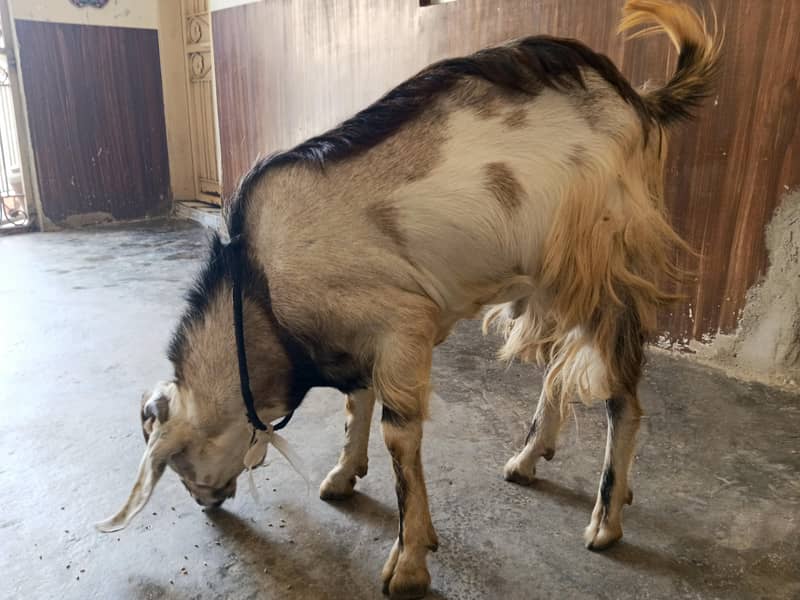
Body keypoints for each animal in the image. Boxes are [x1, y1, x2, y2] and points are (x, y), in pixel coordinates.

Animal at [97, 2, 720, 598]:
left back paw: (607, 519)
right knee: (562, 367)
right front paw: (343, 475)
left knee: (621, 393)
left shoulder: (402, 324)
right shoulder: (363, 337)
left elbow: (399, 436)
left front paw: (409, 561)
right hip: (555, 275)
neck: (260, 291)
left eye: (177, 459)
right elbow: (357, 404)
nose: (208, 504)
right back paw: (527, 460)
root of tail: (642, 103)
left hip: (604, 262)